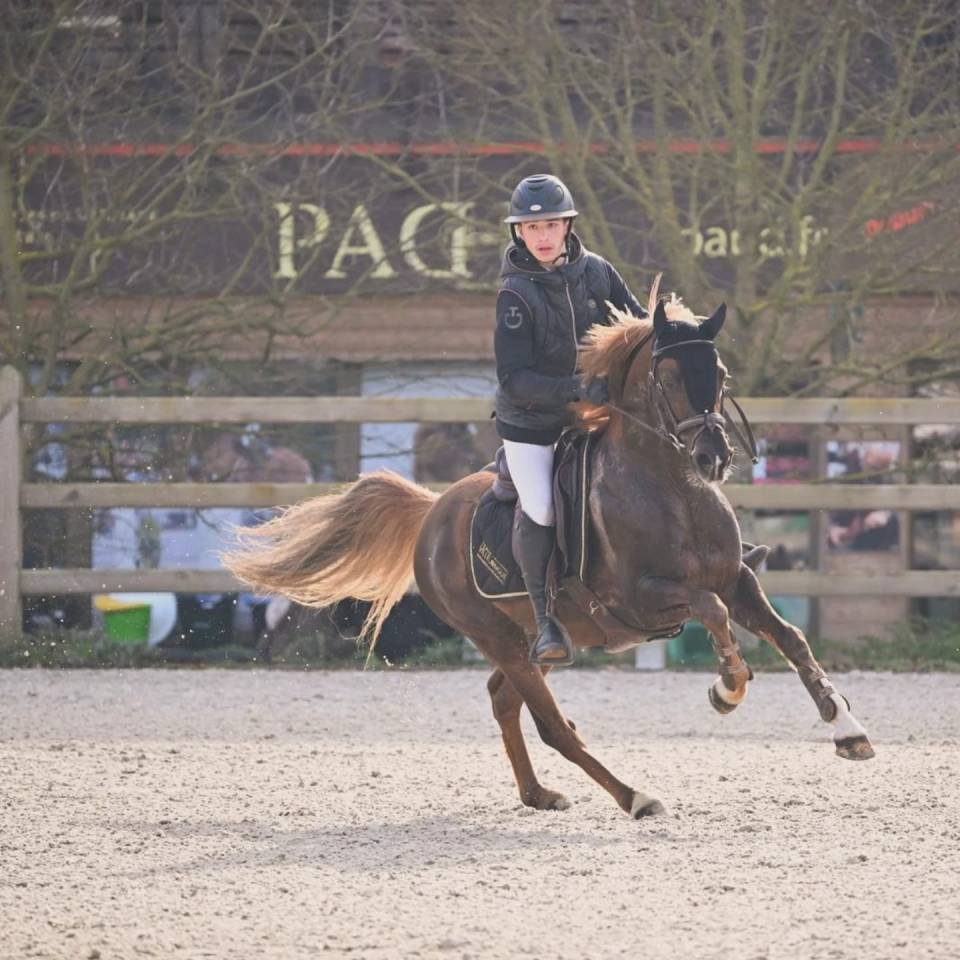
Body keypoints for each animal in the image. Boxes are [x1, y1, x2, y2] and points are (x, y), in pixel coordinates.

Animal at [222, 281, 874, 819]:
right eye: (666, 379)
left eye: (720, 374)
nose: (713, 457)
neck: (672, 489)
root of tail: (432, 511)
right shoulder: (645, 601)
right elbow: (712, 614)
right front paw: (727, 687)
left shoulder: (737, 579)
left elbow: (791, 638)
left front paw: (846, 728)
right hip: (499, 636)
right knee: (552, 725)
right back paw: (634, 797)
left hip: (531, 642)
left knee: (503, 700)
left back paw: (538, 794)